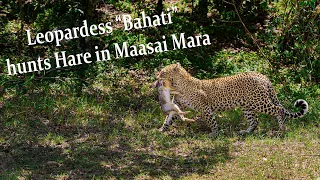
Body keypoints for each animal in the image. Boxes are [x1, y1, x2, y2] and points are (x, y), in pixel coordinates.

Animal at [154, 62, 308, 137]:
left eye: (163, 72)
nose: (156, 77)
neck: (177, 85)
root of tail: (262, 76)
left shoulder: (205, 108)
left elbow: (212, 121)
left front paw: (214, 134)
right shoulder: (178, 106)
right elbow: (168, 118)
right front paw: (161, 130)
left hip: (260, 102)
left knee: (279, 110)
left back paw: (281, 130)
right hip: (247, 106)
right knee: (255, 120)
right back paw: (246, 132)